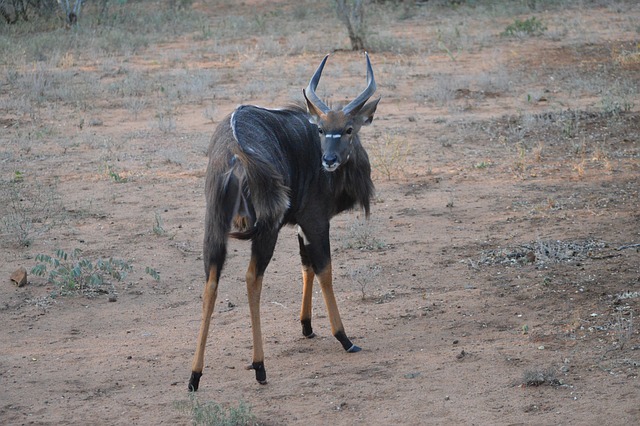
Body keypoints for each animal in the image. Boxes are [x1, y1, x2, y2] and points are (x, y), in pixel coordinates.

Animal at [190, 52, 380, 390]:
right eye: (321, 130)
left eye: (348, 129)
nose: (329, 160)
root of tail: (236, 156)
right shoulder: (315, 220)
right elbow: (324, 269)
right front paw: (344, 338)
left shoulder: (301, 226)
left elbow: (306, 266)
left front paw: (306, 326)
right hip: (267, 229)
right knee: (252, 277)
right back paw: (259, 366)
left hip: (214, 226)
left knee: (210, 282)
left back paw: (195, 376)